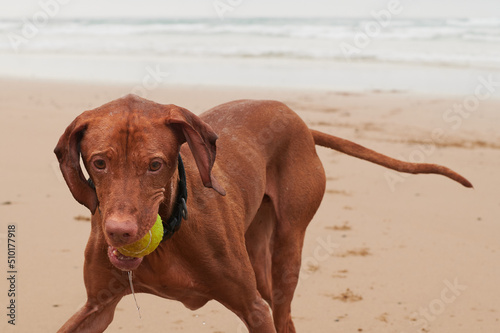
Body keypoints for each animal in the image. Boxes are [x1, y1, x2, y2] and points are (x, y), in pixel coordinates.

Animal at [55, 94, 472, 330]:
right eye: (99, 162)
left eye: (155, 164)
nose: (120, 232)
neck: (170, 235)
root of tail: (299, 120)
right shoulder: (97, 308)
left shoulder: (252, 308)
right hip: (259, 256)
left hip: (287, 249)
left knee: (284, 313)